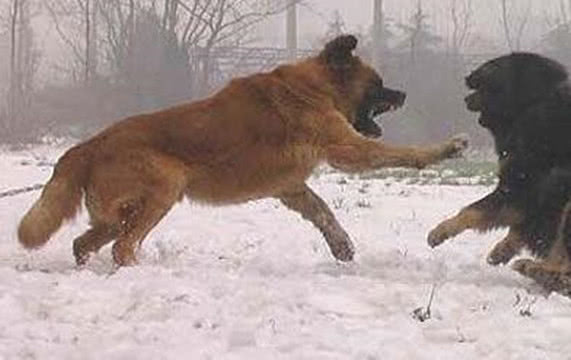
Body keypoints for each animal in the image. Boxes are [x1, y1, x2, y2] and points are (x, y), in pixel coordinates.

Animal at [19, 35, 470, 268]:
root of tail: (89, 144)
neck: (316, 87)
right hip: (166, 185)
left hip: (120, 213)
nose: (404, 93)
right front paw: (445, 149)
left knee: (86, 242)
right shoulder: (348, 149)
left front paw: (341, 246)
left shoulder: (291, 188)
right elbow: (401, 153)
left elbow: (323, 212)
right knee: (122, 246)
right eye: (377, 84)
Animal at [428, 52, 571, 296]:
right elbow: (519, 225)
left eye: (492, 67)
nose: (467, 80)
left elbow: (474, 210)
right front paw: (502, 249)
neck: (533, 104)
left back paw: (536, 269)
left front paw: (441, 231)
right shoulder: (524, 192)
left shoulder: (521, 183)